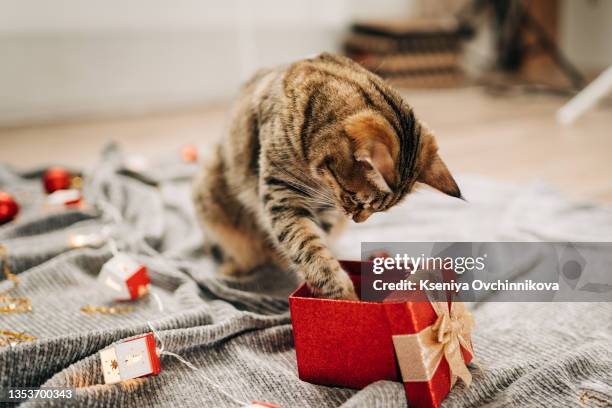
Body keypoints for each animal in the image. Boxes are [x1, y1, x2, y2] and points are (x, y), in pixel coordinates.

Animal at [191, 52, 460, 300]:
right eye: (356, 198)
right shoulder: (283, 194)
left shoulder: (327, 209)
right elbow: (307, 249)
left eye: (377, 210)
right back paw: (233, 268)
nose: (357, 220)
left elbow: (317, 241)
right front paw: (343, 297)